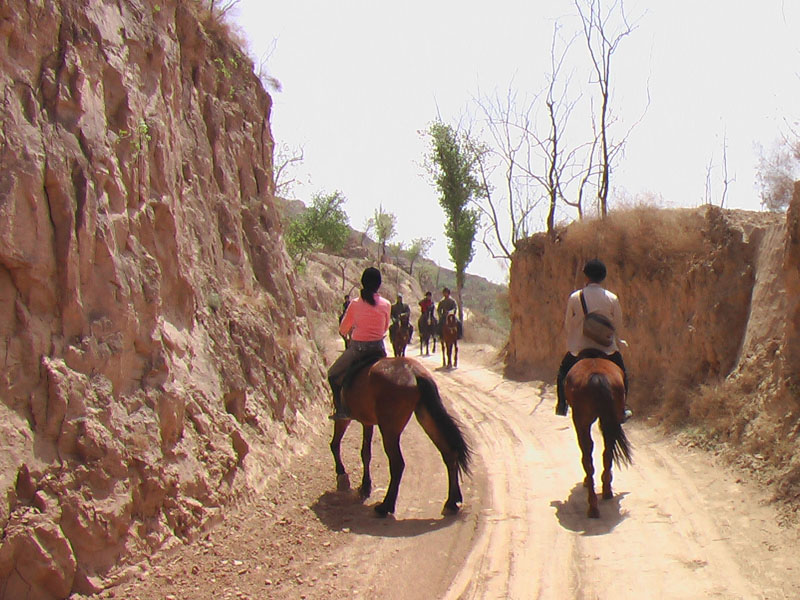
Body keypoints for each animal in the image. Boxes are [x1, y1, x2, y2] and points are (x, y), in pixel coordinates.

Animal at [330, 356, 472, 516]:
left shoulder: (344, 417)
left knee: (397, 464)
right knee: (449, 453)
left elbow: (335, 444)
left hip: (389, 430)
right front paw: (365, 486)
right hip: (425, 417)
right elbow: (365, 453)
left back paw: (386, 506)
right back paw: (452, 502)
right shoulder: (367, 422)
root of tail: (414, 373)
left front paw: (341, 474)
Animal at [564, 350, 636, 516]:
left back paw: (593, 505)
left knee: (587, 456)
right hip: (608, 419)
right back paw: (604, 494)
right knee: (606, 451)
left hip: (582, 421)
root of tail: (597, 377)